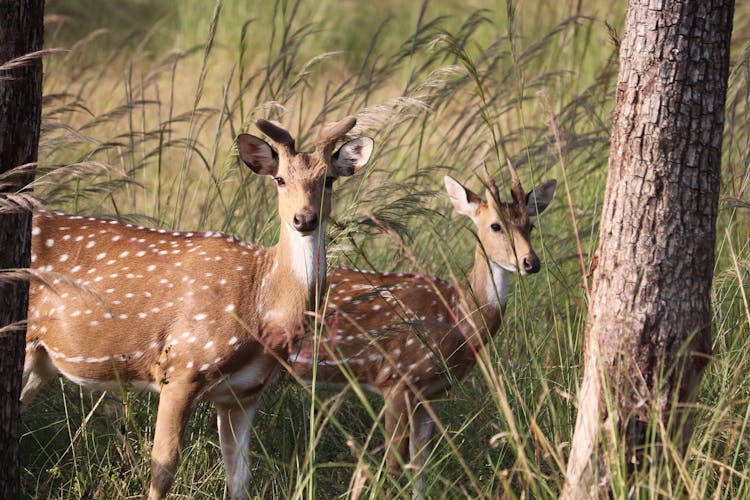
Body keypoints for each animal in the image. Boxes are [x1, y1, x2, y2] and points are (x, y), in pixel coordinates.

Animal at [22, 118, 374, 500]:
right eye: (280, 179)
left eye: (329, 180)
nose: (304, 219)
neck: (261, 304)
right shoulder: (182, 366)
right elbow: (163, 466)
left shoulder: (244, 393)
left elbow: (239, 478)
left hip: (42, 361)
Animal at [290, 164, 556, 496]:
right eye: (496, 226)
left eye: (530, 225)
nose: (531, 262)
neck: (456, 314)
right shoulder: (398, 379)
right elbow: (393, 466)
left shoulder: (432, 392)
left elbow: (421, 465)